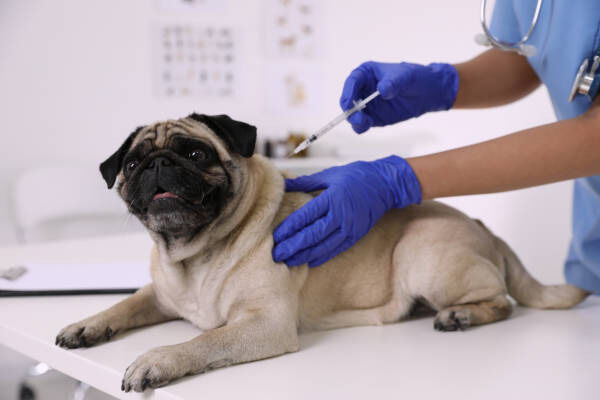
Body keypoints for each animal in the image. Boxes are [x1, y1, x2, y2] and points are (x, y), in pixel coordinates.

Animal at [56, 114, 589, 392]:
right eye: (131, 165)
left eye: (195, 154)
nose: (157, 165)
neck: (194, 255)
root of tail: (486, 230)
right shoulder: (160, 294)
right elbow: (125, 304)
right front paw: (87, 325)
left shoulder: (264, 323)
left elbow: (204, 341)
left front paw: (159, 359)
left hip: (424, 256)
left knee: (502, 301)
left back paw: (461, 315)